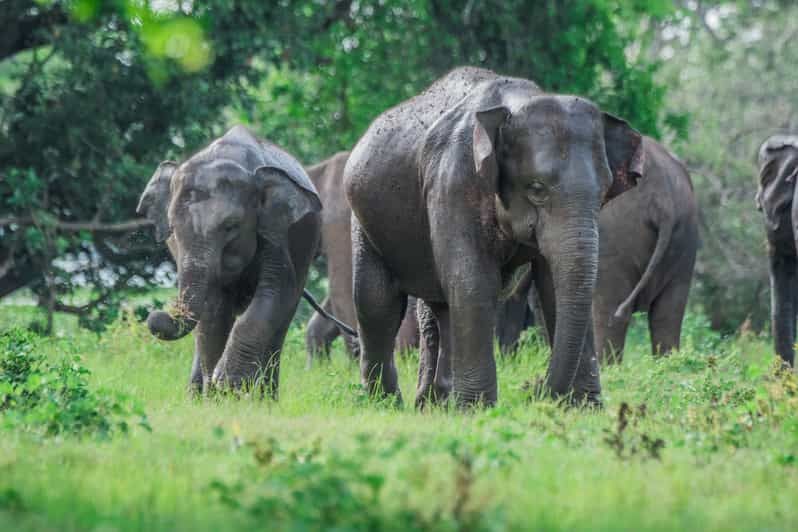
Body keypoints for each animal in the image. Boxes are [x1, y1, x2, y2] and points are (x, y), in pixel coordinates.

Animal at [137, 125, 322, 394]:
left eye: (231, 226)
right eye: (172, 228)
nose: (155, 315)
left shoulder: (276, 232)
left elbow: (276, 290)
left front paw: (230, 383)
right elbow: (213, 310)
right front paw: (219, 393)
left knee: (281, 322)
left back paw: (264, 396)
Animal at [346, 67, 648, 408]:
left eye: (603, 193)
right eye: (537, 188)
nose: (534, 390)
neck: (515, 103)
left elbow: (552, 286)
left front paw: (586, 409)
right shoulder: (452, 182)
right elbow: (473, 280)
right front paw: (477, 409)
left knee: (437, 306)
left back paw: (434, 404)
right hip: (364, 221)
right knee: (377, 302)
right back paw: (386, 403)